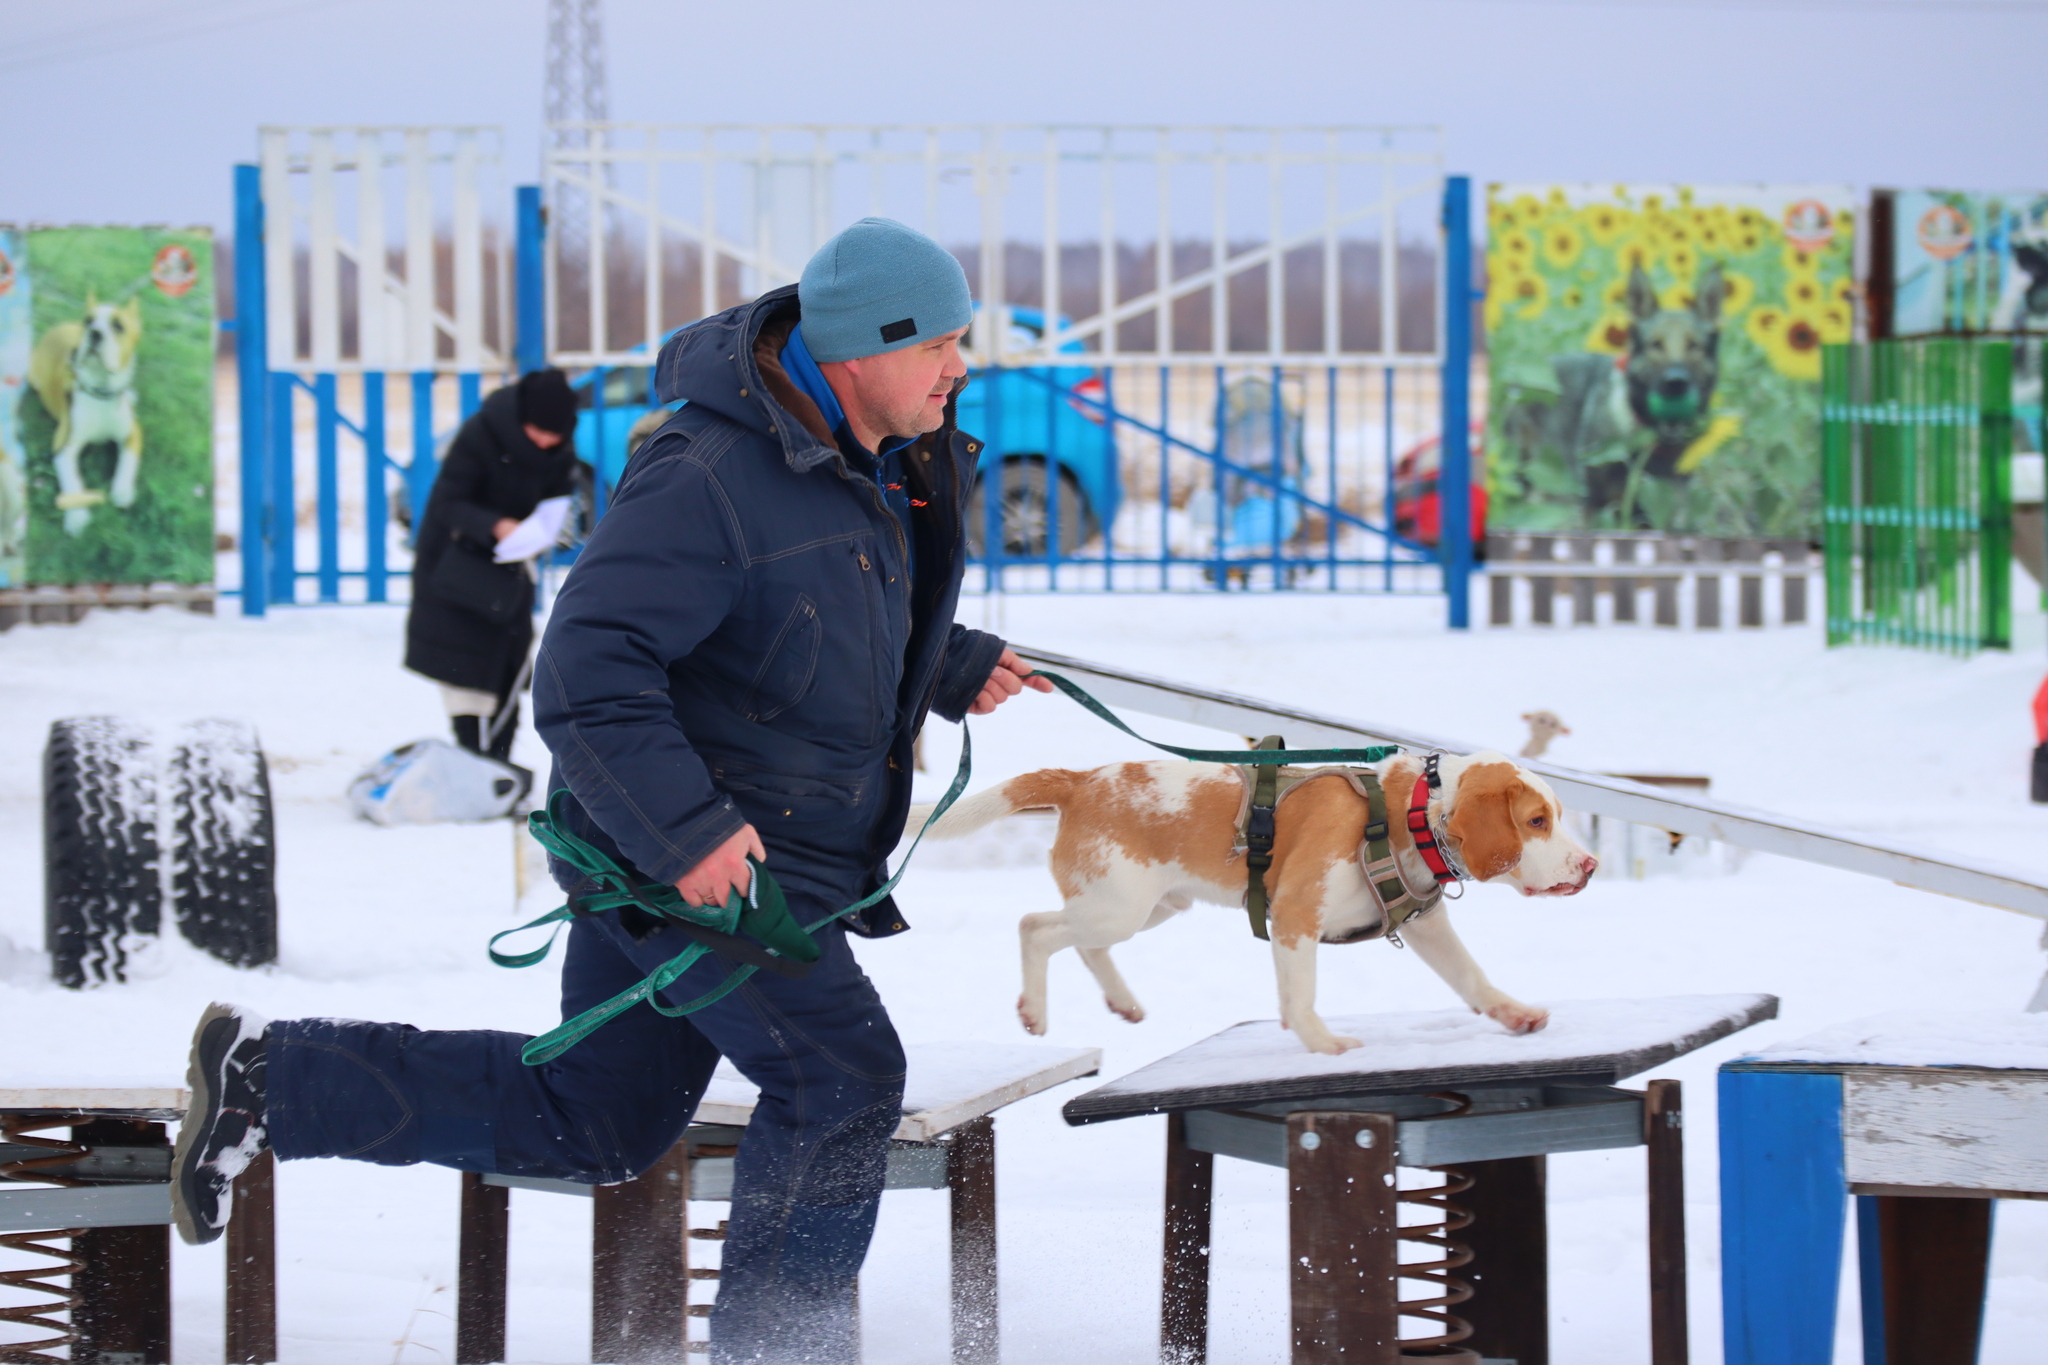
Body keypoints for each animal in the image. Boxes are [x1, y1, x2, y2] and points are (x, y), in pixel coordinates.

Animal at [917, 753, 1597, 1055]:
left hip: (1151, 907)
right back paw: (1034, 1009)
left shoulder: (1428, 928)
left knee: (1084, 945)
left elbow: (1472, 978)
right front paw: (1324, 1046)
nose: (1589, 867)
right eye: (1536, 821)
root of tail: (1081, 781)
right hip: (1117, 906)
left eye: (1557, 817)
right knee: (1034, 926)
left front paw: (1514, 1015)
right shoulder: (1296, 915)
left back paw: (1123, 1001)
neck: (1409, 813)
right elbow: (1300, 997)